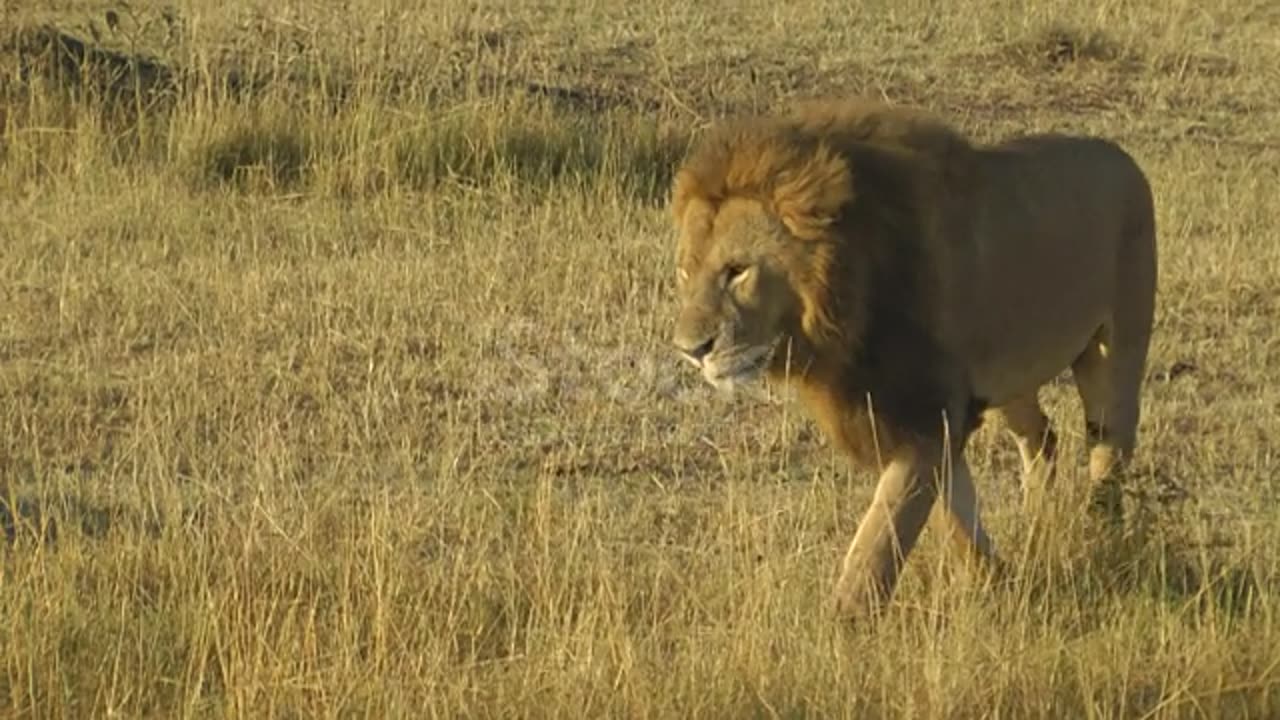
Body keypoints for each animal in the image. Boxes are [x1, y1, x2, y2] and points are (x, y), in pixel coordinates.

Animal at [670, 98, 1162, 620]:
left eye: (737, 271)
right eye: (684, 272)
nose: (690, 350)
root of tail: (1123, 157)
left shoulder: (928, 416)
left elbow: (881, 535)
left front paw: (844, 623)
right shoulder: (912, 415)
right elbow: (954, 515)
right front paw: (999, 580)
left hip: (1116, 348)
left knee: (1110, 445)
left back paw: (1101, 532)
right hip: (1011, 375)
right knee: (1043, 437)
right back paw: (1037, 523)